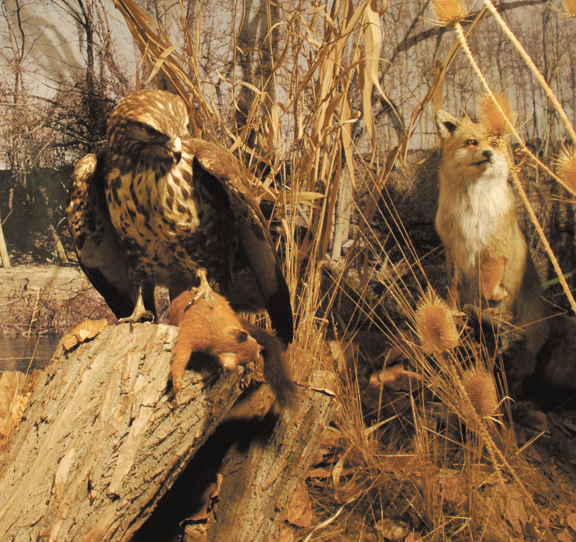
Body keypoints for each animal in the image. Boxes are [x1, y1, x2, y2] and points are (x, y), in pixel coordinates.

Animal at [436, 109, 548, 392]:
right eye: (472, 142)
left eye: (494, 144)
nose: (488, 154)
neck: (471, 211)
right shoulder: (452, 249)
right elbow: (452, 287)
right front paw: (452, 314)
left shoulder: (494, 249)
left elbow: (487, 287)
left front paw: (497, 297)